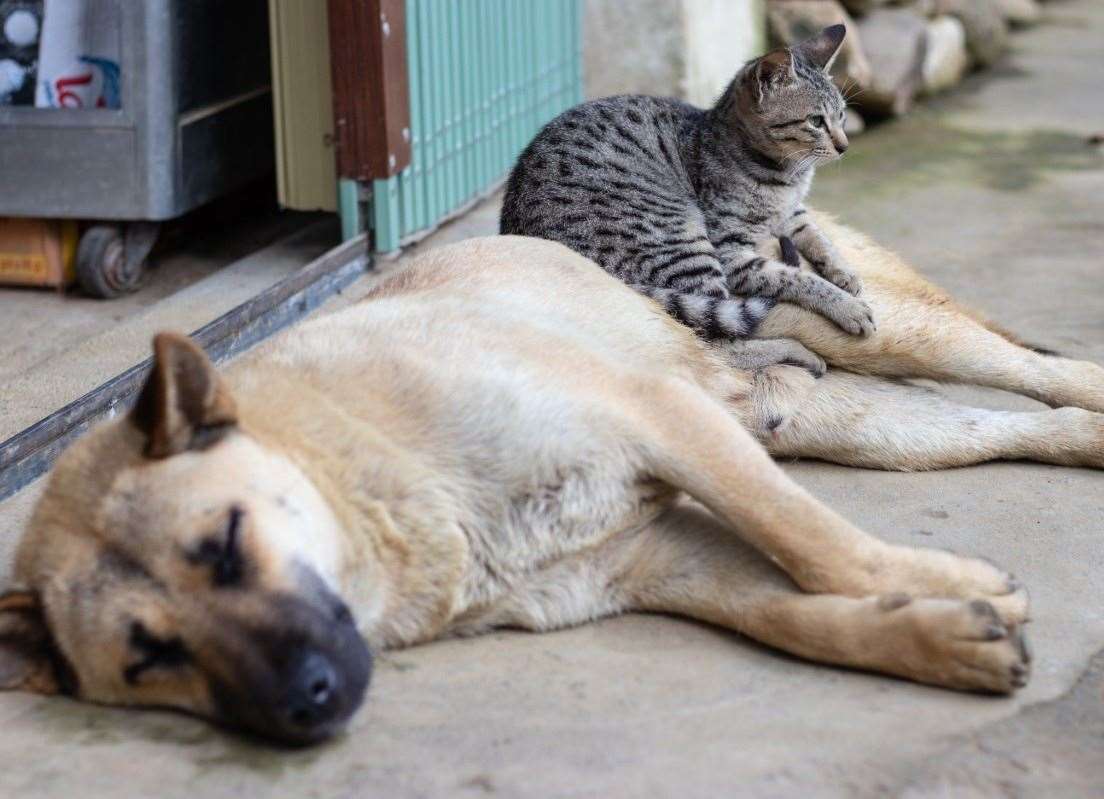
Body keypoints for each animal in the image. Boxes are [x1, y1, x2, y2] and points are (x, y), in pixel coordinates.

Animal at [2, 219, 1104, 741]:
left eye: (226, 545)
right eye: (149, 657)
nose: (308, 703)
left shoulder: (662, 421)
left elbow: (813, 543)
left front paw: (946, 587)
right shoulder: (658, 557)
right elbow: (792, 612)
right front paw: (939, 631)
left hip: (876, 337)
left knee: (1034, 370)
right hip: (860, 428)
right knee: (1014, 425)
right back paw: (1083, 442)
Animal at [505, 24, 874, 368]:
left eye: (842, 116)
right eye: (816, 121)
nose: (844, 146)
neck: (787, 177)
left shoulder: (793, 213)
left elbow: (820, 238)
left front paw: (846, 273)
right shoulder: (731, 252)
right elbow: (796, 277)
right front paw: (848, 306)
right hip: (682, 239)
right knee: (718, 344)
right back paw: (800, 353)